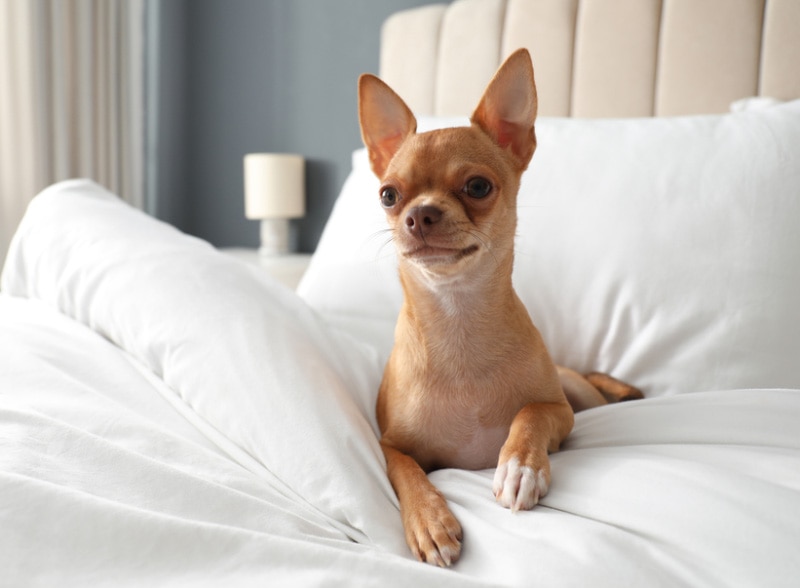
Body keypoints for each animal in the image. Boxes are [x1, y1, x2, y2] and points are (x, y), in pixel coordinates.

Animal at [360, 49, 640, 564]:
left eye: (477, 187)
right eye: (388, 195)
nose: (419, 214)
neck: (458, 320)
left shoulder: (559, 411)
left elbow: (529, 414)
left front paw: (519, 467)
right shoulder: (389, 445)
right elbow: (406, 471)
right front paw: (429, 519)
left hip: (582, 395)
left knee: (596, 387)